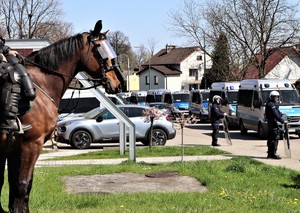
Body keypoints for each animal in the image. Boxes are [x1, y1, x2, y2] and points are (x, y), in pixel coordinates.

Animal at [0, 20, 123, 213]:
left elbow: (16, 189)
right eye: (100, 50)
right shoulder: (31, 145)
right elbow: (23, 185)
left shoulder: (13, 149)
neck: (42, 84)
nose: (119, 82)